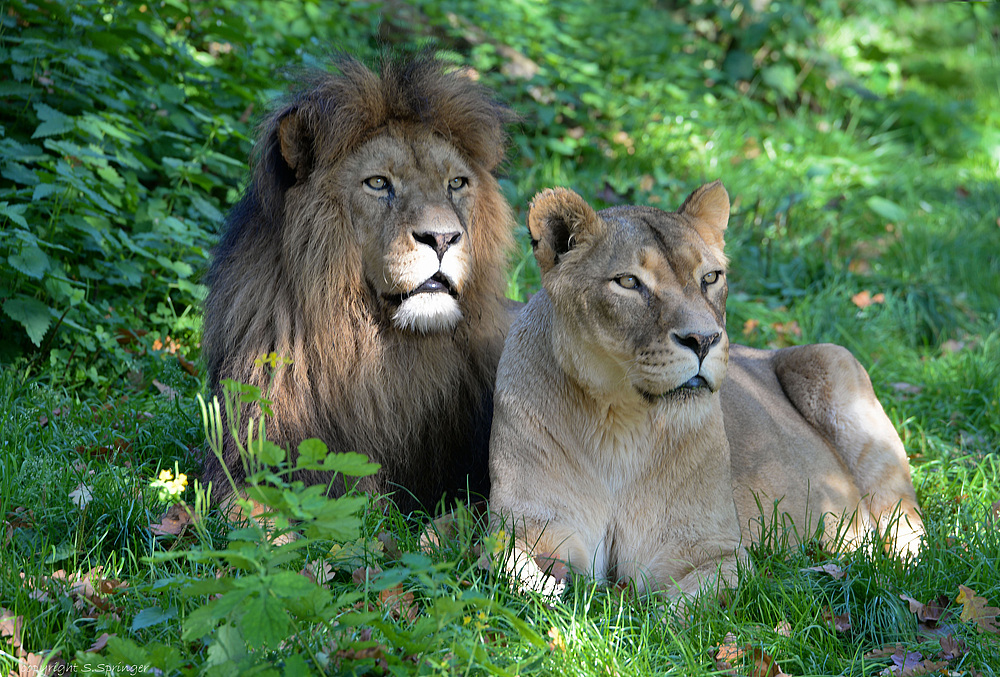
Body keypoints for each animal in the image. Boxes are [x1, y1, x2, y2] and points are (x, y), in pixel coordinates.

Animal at [490, 181, 920, 596]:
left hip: (833, 359)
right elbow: (509, 570)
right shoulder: (533, 527)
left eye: (709, 278)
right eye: (628, 282)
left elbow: (677, 613)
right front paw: (555, 593)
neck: (619, 422)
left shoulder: (717, 553)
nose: (703, 340)